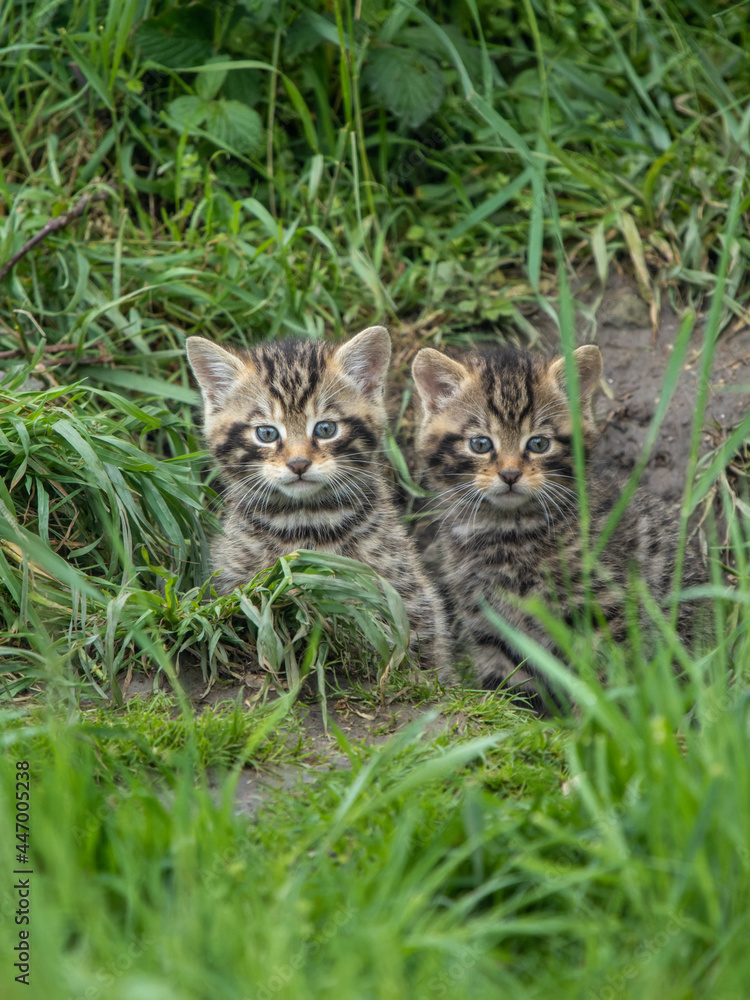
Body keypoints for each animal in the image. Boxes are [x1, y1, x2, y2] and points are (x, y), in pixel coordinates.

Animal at [188, 328, 452, 680]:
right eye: (266, 433)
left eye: (325, 429)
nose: (299, 464)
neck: (306, 520)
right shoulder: (231, 576)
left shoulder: (406, 589)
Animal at [414, 344, 708, 704]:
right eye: (480, 444)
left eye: (538, 443)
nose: (509, 474)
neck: (510, 530)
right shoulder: (488, 618)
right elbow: (510, 678)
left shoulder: (604, 606)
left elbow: (606, 675)